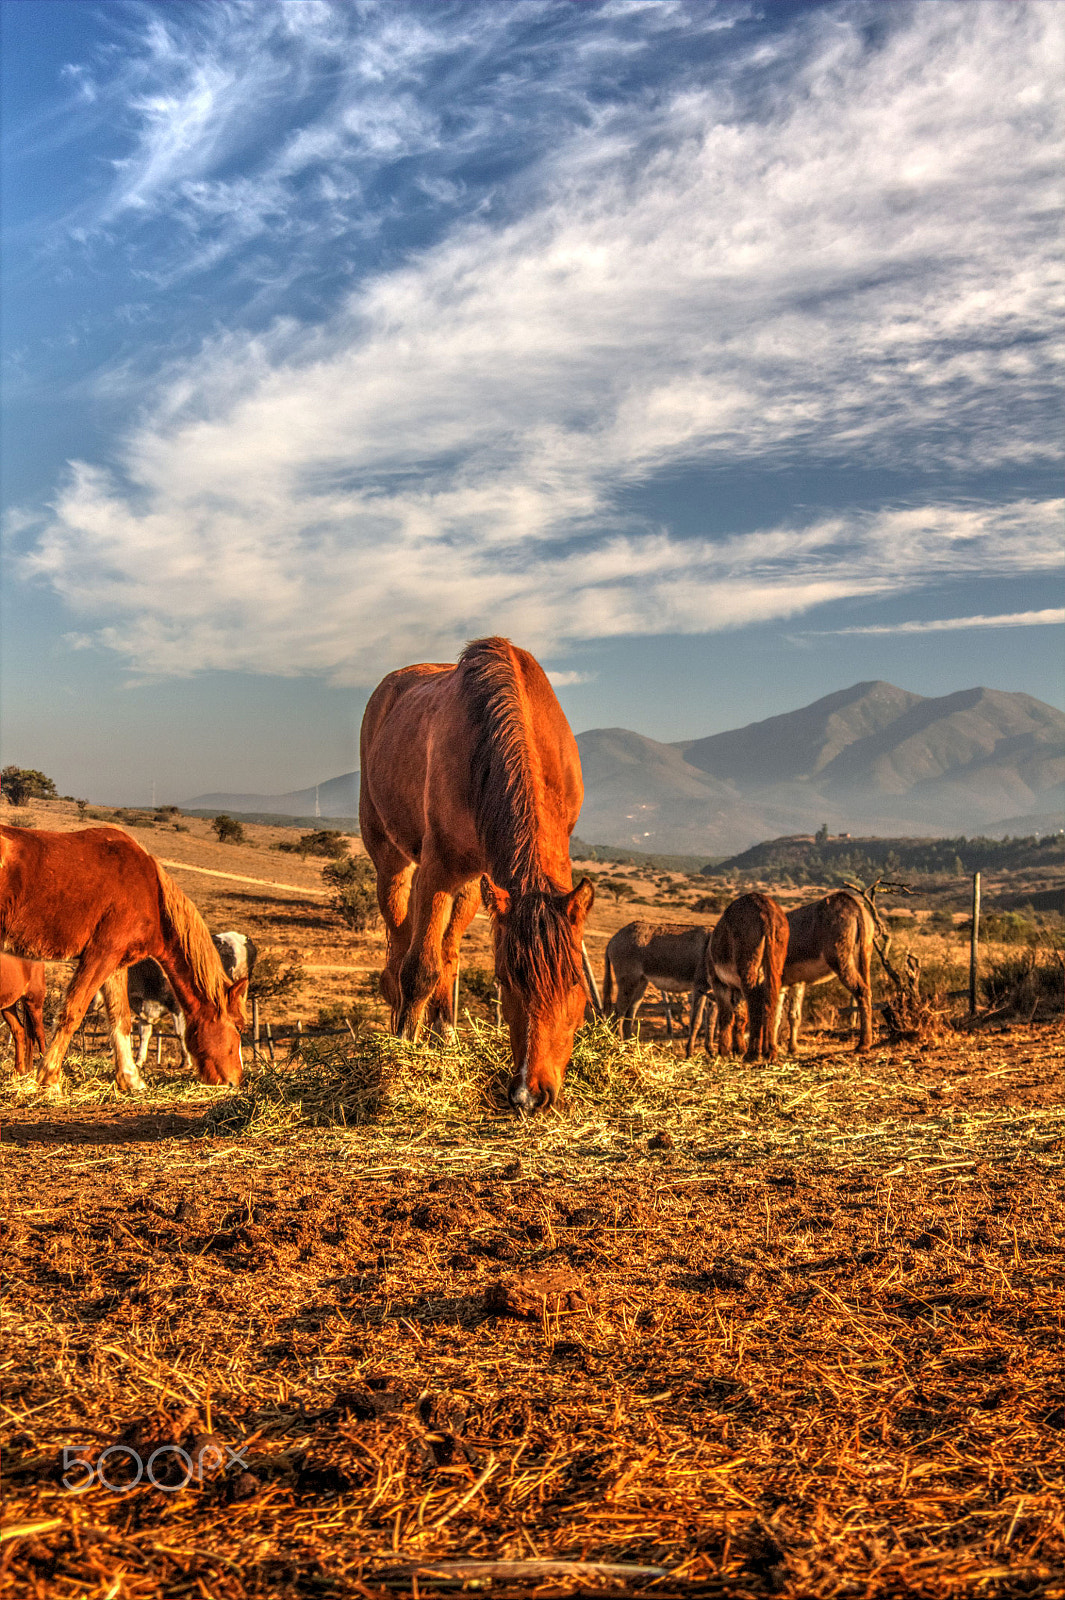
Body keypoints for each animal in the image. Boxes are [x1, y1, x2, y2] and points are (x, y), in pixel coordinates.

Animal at [361, 636, 591, 1113]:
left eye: (575, 981)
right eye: (506, 981)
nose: (530, 1094)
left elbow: (442, 960)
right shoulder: (438, 870)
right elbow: (419, 970)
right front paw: (403, 1054)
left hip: (472, 883)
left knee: (448, 954)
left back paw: (445, 1038)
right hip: (391, 859)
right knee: (401, 947)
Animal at [687, 889, 786, 1062]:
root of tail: (766, 910)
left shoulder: (719, 984)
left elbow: (726, 1015)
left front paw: (724, 1051)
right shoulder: (737, 990)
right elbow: (740, 1016)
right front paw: (738, 1049)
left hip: (748, 970)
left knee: (755, 1004)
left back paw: (753, 1054)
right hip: (774, 969)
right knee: (770, 1001)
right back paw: (769, 1052)